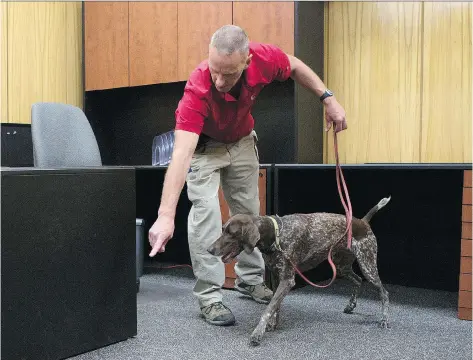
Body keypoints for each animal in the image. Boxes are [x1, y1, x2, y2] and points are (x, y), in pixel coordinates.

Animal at [206, 195, 390, 348]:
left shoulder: (287, 280)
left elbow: (268, 309)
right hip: (341, 266)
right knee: (357, 280)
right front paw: (272, 324)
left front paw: (258, 333)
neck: (276, 235)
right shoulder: (276, 277)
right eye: (223, 229)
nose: (209, 249)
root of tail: (363, 222)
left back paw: (384, 319)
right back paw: (351, 306)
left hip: (367, 265)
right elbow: (275, 306)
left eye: (231, 232)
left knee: (384, 292)